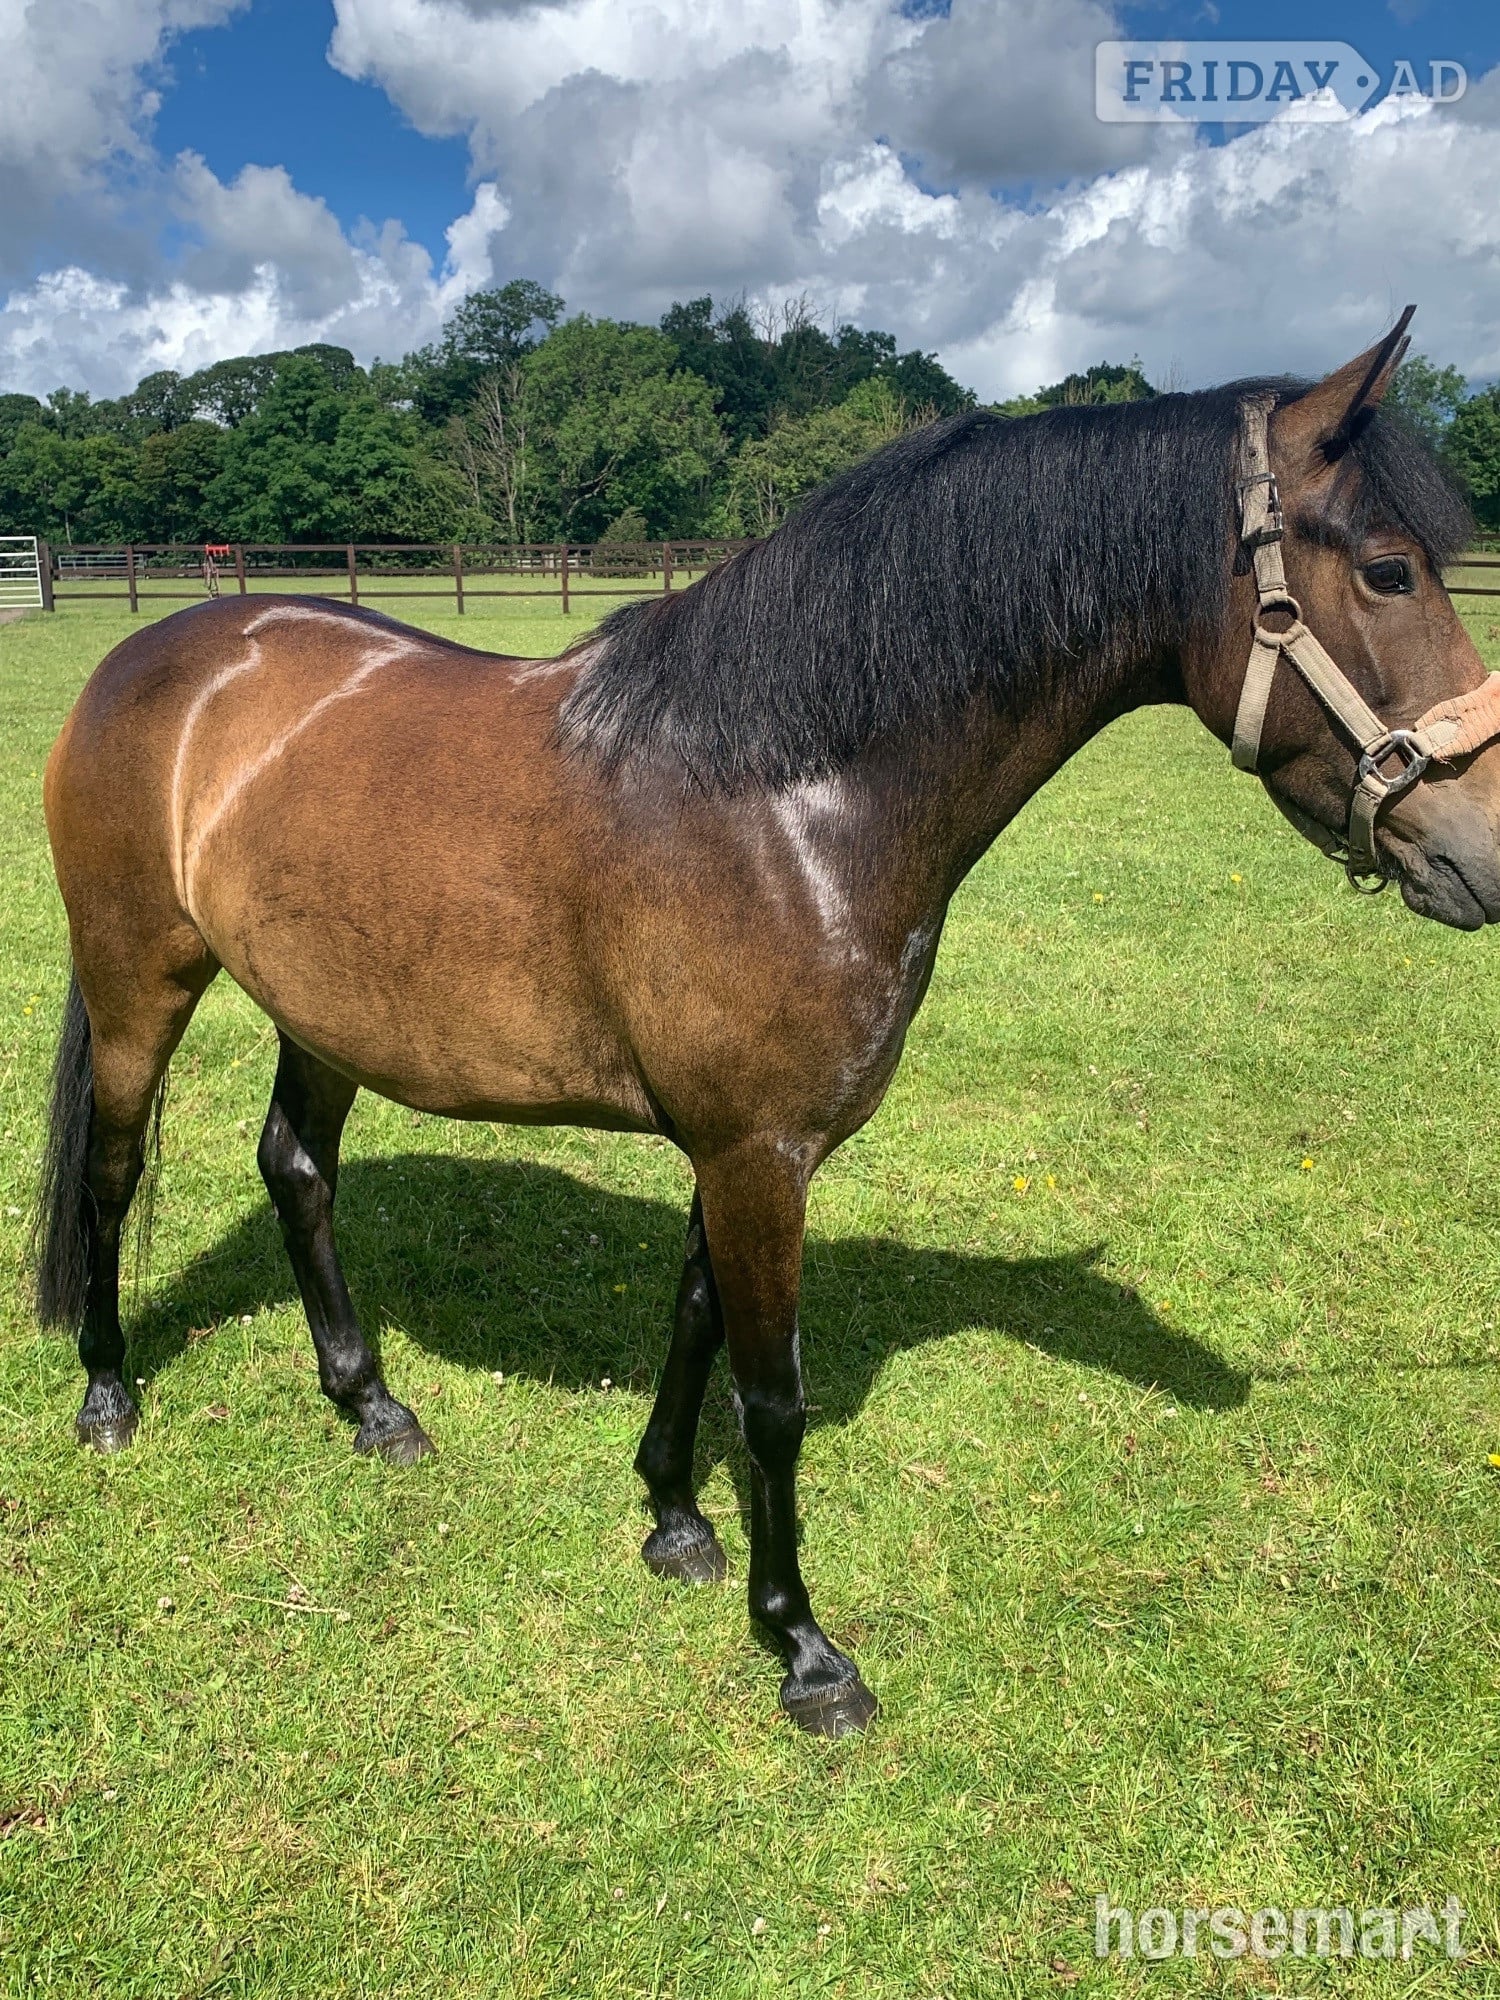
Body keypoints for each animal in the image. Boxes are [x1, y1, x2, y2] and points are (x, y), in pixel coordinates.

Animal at [33, 311, 1500, 1736]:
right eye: (1387, 571)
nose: (1480, 849)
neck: (785, 797)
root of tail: (156, 652)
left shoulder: (738, 1147)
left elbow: (695, 1322)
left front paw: (675, 1522)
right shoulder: (756, 1155)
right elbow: (775, 1396)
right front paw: (803, 1648)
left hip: (326, 1013)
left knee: (295, 1170)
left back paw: (371, 1403)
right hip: (137, 981)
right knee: (111, 1174)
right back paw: (108, 1395)